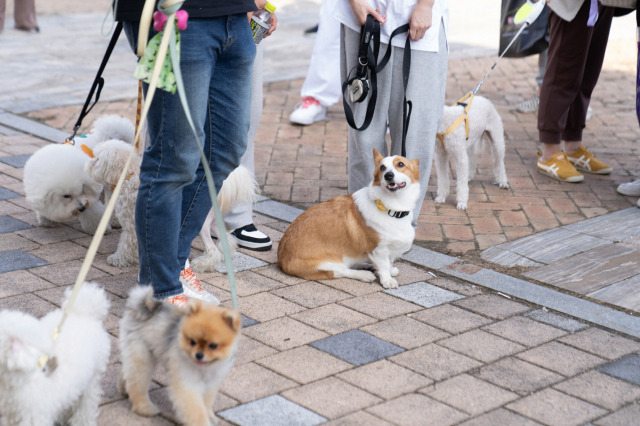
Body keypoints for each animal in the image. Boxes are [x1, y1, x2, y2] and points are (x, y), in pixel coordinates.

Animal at [119, 286, 241, 426]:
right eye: (192, 342)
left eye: (213, 346)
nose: (199, 355)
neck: (204, 368)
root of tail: (143, 308)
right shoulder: (186, 383)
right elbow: (196, 410)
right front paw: (203, 422)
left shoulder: (212, 382)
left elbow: (206, 403)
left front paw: (210, 416)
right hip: (143, 356)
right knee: (137, 384)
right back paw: (145, 408)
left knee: (128, 373)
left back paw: (124, 389)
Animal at [278, 147, 420, 290]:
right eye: (382, 167)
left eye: (400, 164)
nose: (388, 175)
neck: (391, 207)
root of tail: (281, 259)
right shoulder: (378, 250)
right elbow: (384, 265)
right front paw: (387, 280)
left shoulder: (389, 249)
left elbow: (389, 262)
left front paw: (390, 271)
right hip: (326, 264)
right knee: (342, 271)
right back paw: (364, 274)